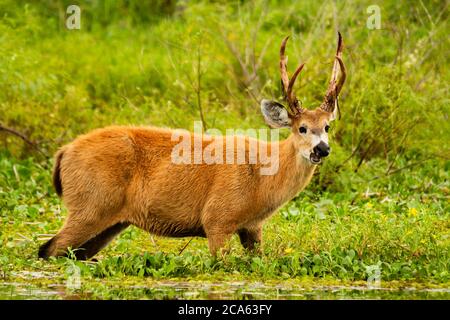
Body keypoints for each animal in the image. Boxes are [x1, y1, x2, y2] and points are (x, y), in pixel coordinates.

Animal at [39, 33, 348, 260]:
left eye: (327, 127)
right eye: (301, 127)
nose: (321, 149)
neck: (262, 178)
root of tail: (64, 152)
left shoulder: (252, 229)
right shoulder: (217, 219)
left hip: (108, 223)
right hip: (90, 206)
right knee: (49, 249)